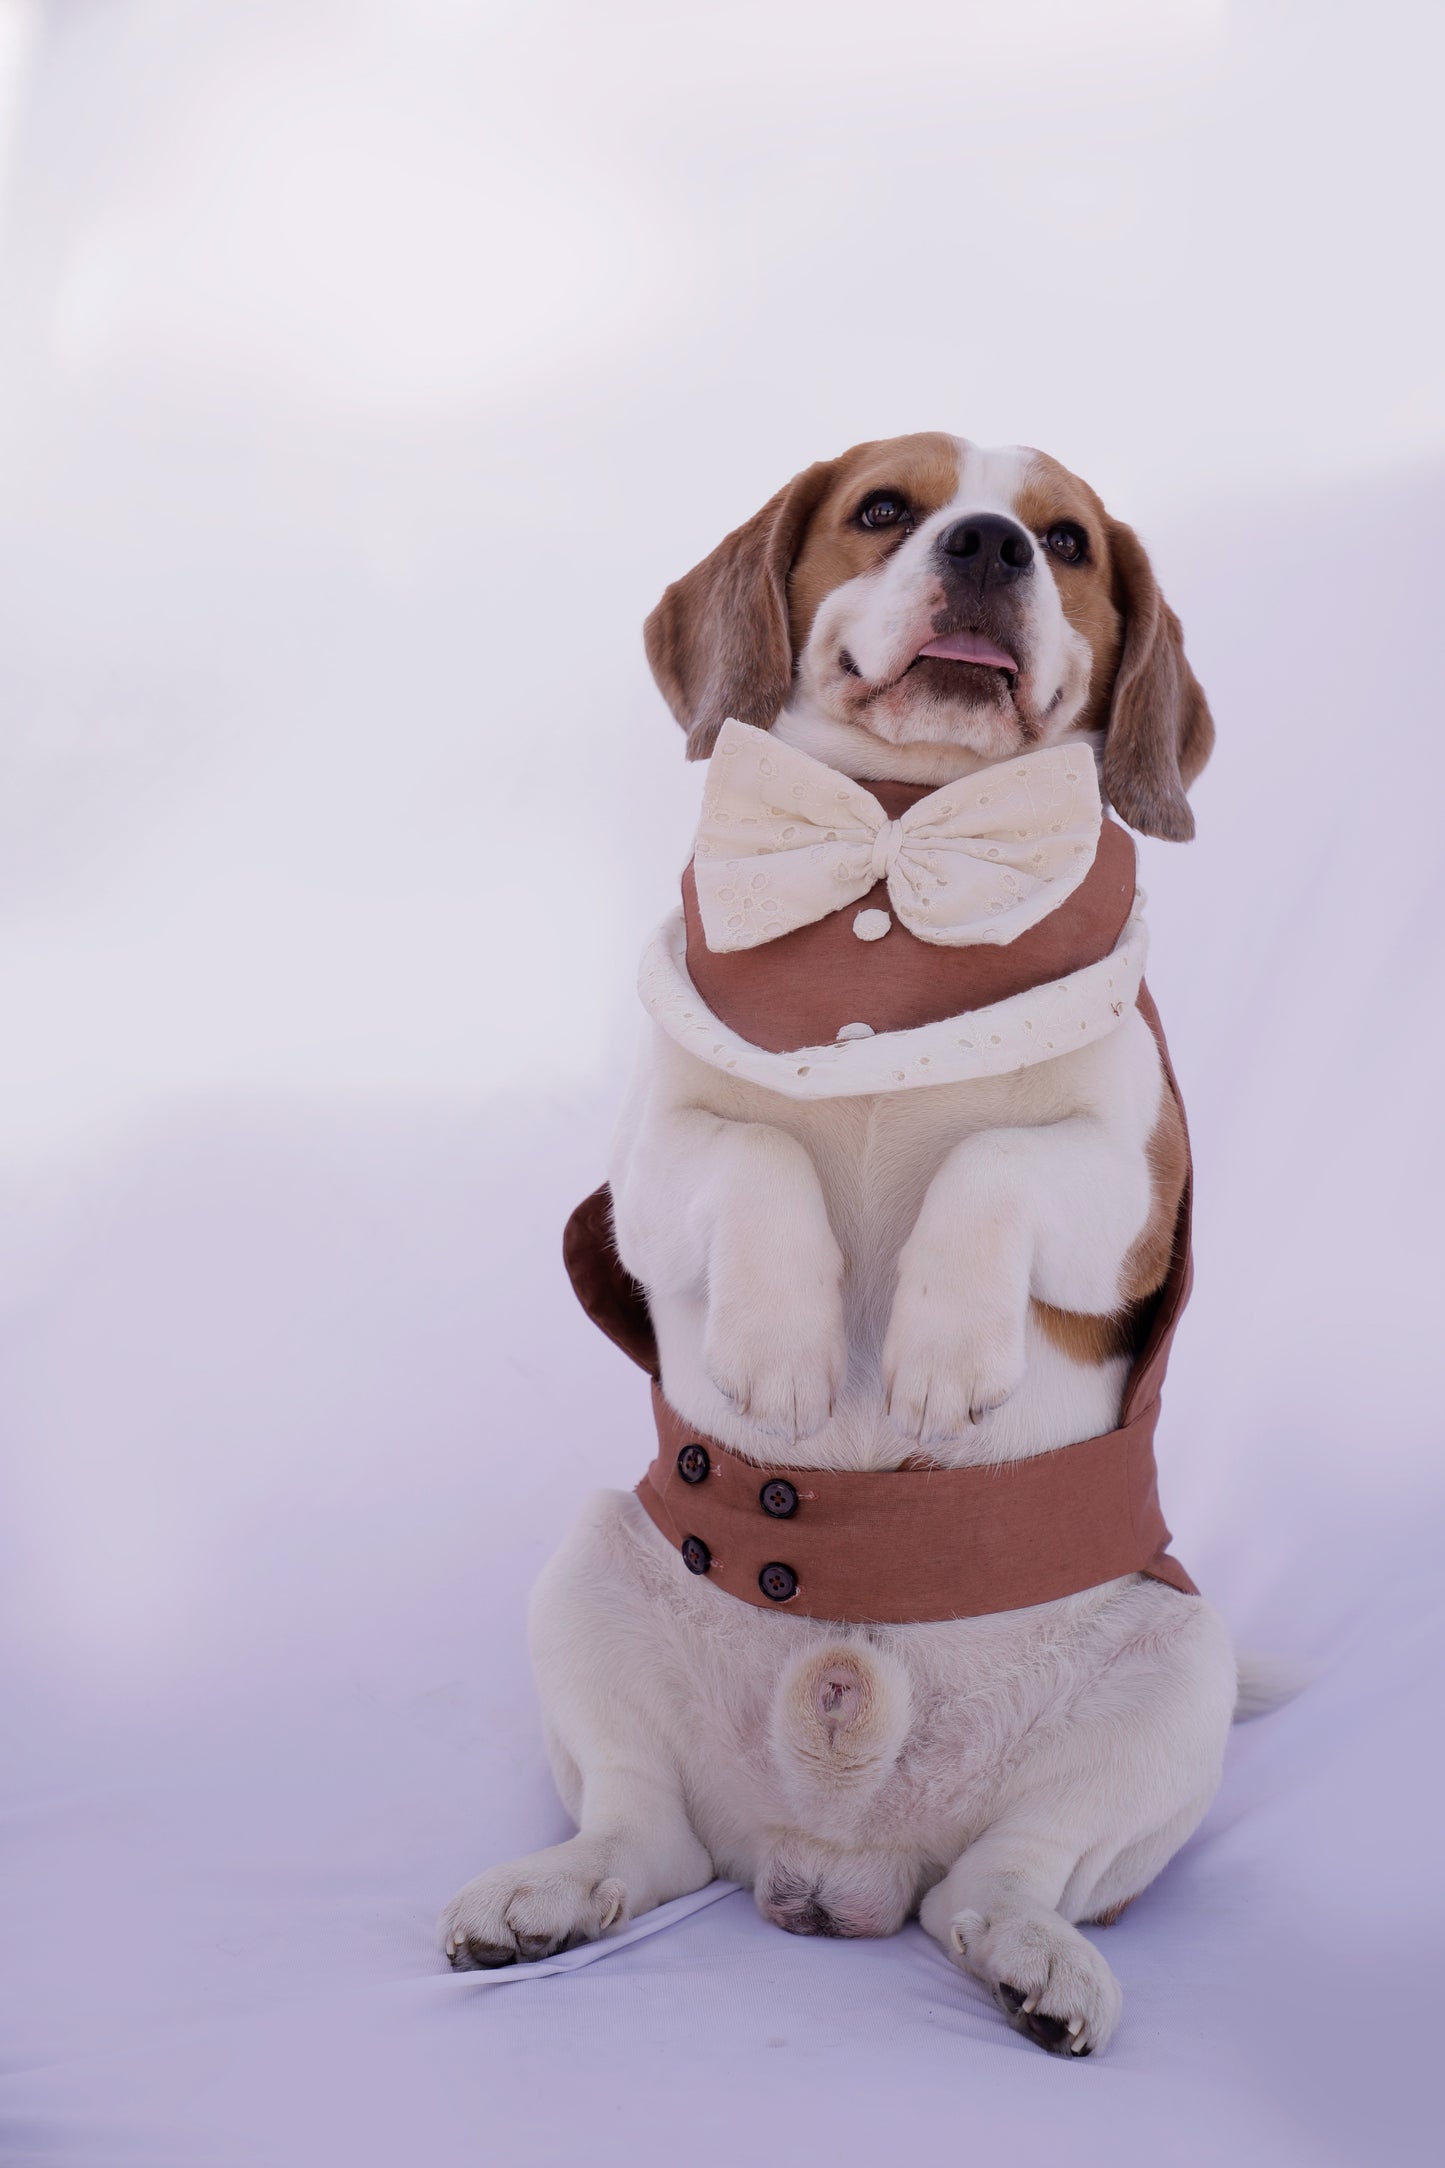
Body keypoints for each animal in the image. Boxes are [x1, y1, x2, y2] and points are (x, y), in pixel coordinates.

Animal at [435, 431, 1239, 2055]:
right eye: (883, 508)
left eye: (1066, 538)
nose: (989, 543)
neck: (893, 850)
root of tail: (830, 1850)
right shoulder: (646, 1173)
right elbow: (752, 1158)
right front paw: (788, 1351)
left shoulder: (1131, 1194)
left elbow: (995, 1161)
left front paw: (931, 1353)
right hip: (591, 1563)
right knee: (642, 1831)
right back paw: (547, 1897)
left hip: (1184, 1671)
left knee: (1002, 1879)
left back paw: (1035, 1964)